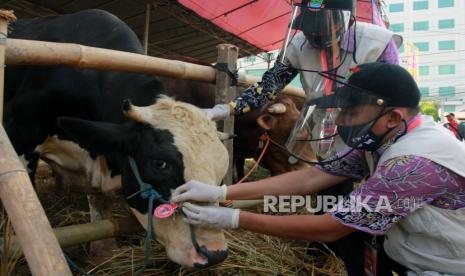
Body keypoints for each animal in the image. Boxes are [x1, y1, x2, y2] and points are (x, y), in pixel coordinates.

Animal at [3, 9, 228, 268]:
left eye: (222, 169)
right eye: (160, 163)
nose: (214, 252)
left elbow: (101, 203)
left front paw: (104, 250)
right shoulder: (20, 138)